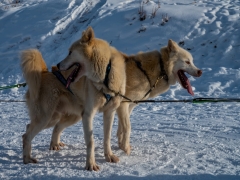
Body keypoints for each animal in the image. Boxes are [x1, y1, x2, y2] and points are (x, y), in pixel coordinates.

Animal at [21, 26, 125, 170]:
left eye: (70, 52)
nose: (58, 64)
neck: (105, 75)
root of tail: (43, 73)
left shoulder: (109, 112)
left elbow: (107, 138)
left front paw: (109, 156)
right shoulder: (88, 115)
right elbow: (91, 141)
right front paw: (91, 164)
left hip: (65, 117)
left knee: (48, 127)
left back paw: (54, 144)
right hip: (46, 118)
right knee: (26, 135)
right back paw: (27, 159)